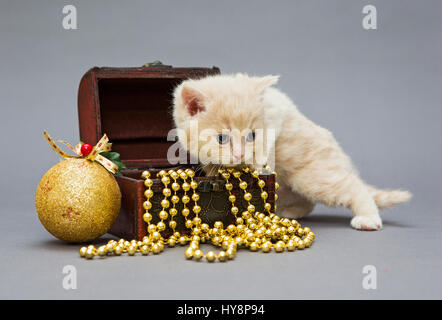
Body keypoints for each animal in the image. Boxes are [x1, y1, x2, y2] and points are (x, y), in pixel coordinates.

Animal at [172, 74, 410, 231]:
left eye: (252, 136)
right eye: (222, 139)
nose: (240, 155)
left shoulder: (279, 108)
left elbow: (268, 143)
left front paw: (257, 163)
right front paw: (214, 170)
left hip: (315, 174)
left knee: (353, 187)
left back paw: (368, 218)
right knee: (308, 201)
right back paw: (289, 212)